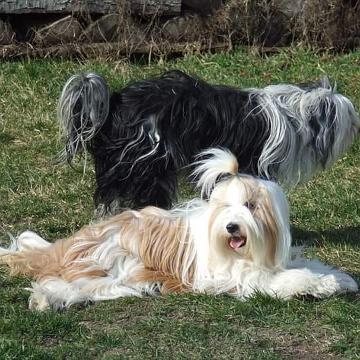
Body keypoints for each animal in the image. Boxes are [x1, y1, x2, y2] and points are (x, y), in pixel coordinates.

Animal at [0, 149, 358, 310]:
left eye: (250, 205)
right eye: (224, 207)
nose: (231, 227)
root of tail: (68, 243)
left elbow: (306, 265)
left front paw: (338, 279)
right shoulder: (243, 277)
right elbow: (284, 280)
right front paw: (317, 284)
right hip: (116, 268)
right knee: (63, 284)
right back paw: (44, 299)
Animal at [57, 69, 358, 214]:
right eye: (350, 116)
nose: (357, 125)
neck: (292, 115)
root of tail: (116, 103)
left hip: (120, 167)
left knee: (108, 199)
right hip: (150, 165)